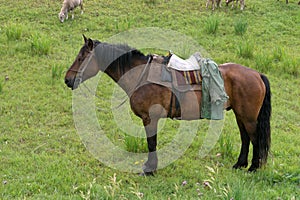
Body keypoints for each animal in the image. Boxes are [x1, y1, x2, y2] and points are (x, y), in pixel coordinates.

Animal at [64, 35, 270, 176]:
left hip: (249, 117)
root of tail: (257, 74)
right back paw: (240, 164)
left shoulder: (150, 118)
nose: (67, 79)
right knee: (245, 137)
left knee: (254, 138)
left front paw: (149, 169)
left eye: (81, 58)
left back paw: (253, 167)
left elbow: (151, 143)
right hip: (240, 115)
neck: (141, 75)